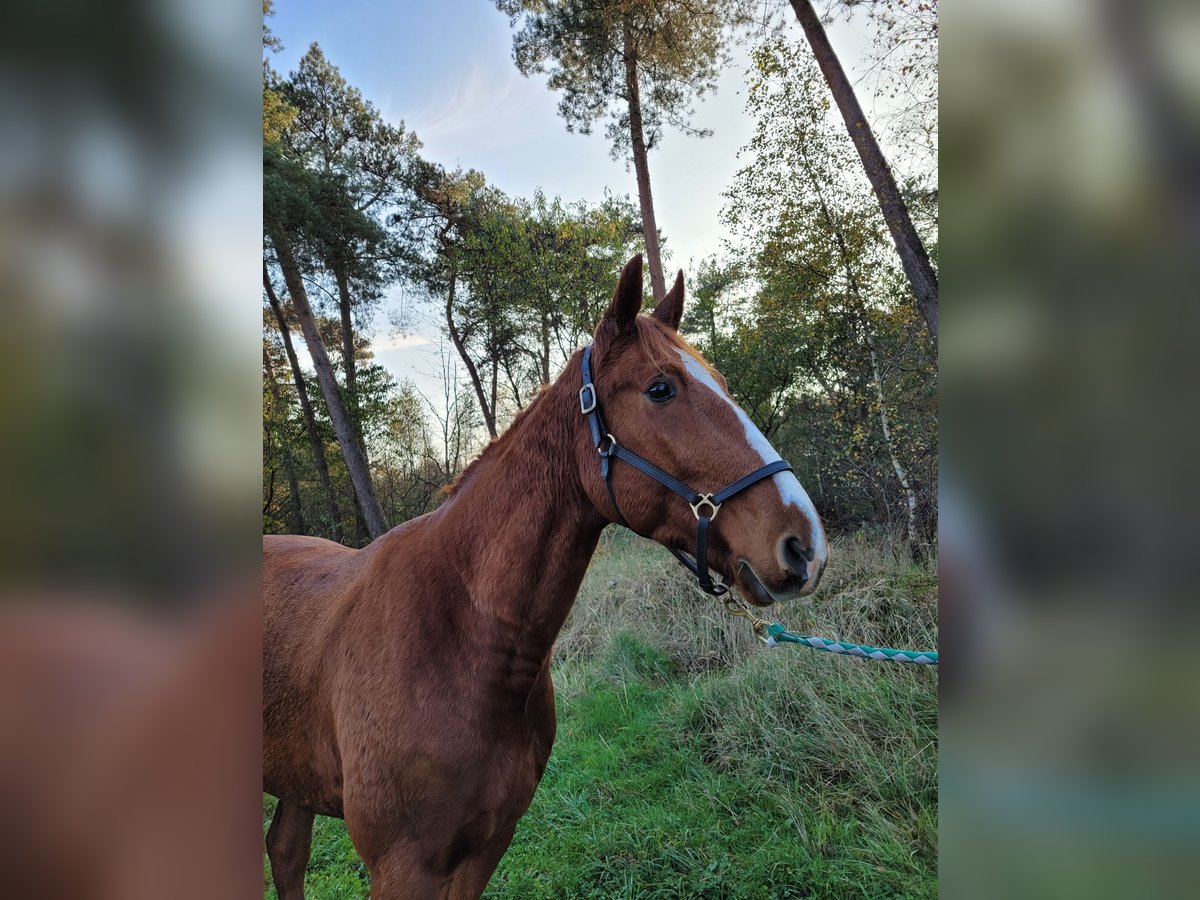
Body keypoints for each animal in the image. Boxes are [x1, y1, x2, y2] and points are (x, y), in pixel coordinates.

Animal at [261, 255, 825, 900]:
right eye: (660, 389)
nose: (804, 544)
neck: (465, 641)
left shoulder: (486, 846)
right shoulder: (403, 867)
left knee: (286, 851)